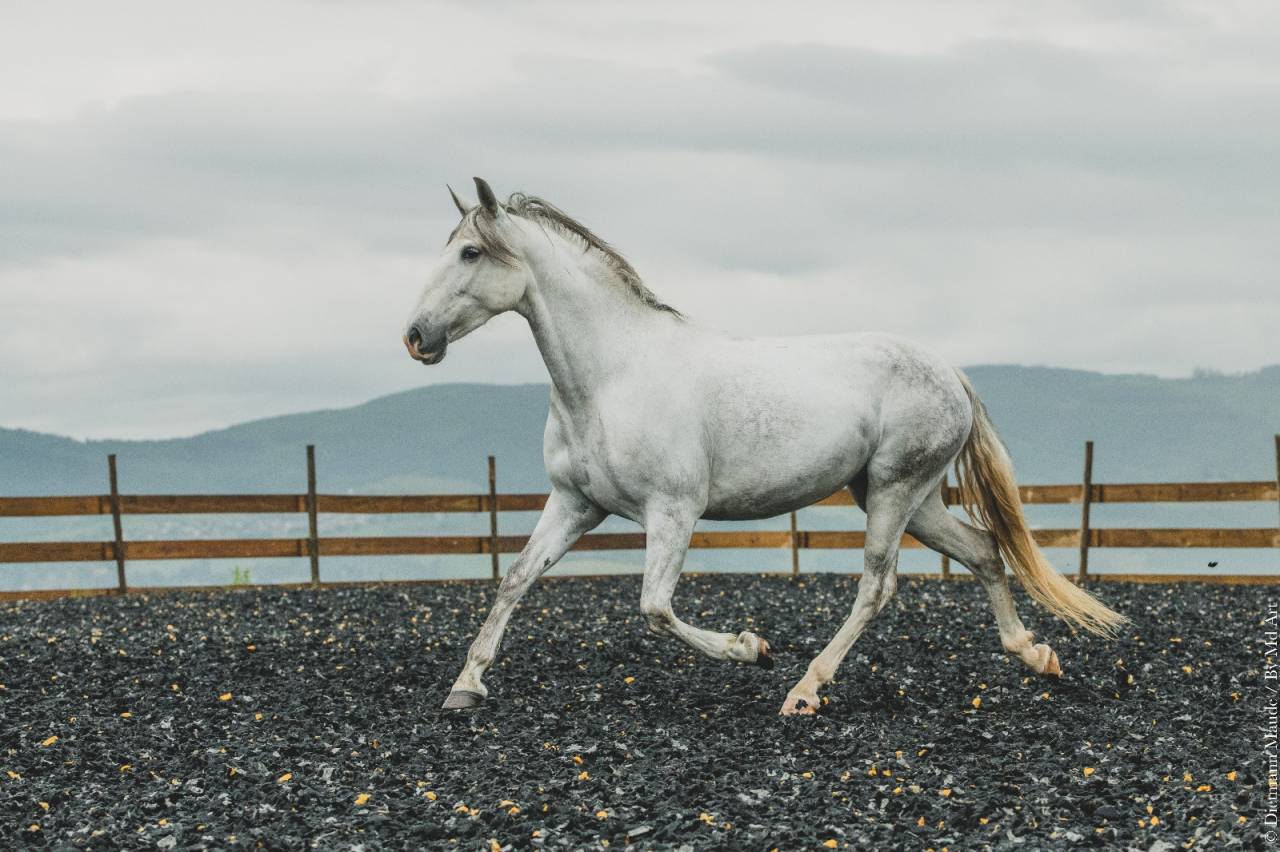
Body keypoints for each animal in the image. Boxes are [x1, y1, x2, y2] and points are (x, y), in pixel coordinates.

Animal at [403, 177, 1126, 716]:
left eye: (469, 254)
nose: (415, 336)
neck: (612, 377)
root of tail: (952, 372)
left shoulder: (673, 510)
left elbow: (654, 608)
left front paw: (753, 649)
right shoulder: (575, 504)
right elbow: (515, 580)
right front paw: (465, 688)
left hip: (895, 493)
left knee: (878, 585)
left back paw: (804, 689)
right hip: (907, 497)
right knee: (982, 551)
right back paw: (1035, 655)